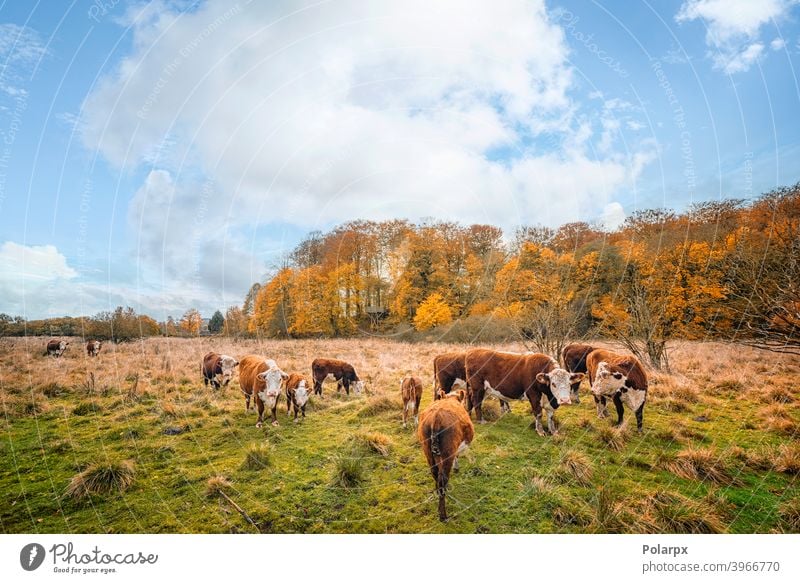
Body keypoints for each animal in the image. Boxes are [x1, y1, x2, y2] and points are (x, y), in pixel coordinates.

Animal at [418, 390, 476, 524]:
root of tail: (436, 417)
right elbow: (457, 456)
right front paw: (456, 468)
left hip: (428, 452)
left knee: (435, 474)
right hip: (447, 453)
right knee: (442, 479)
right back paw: (443, 515)